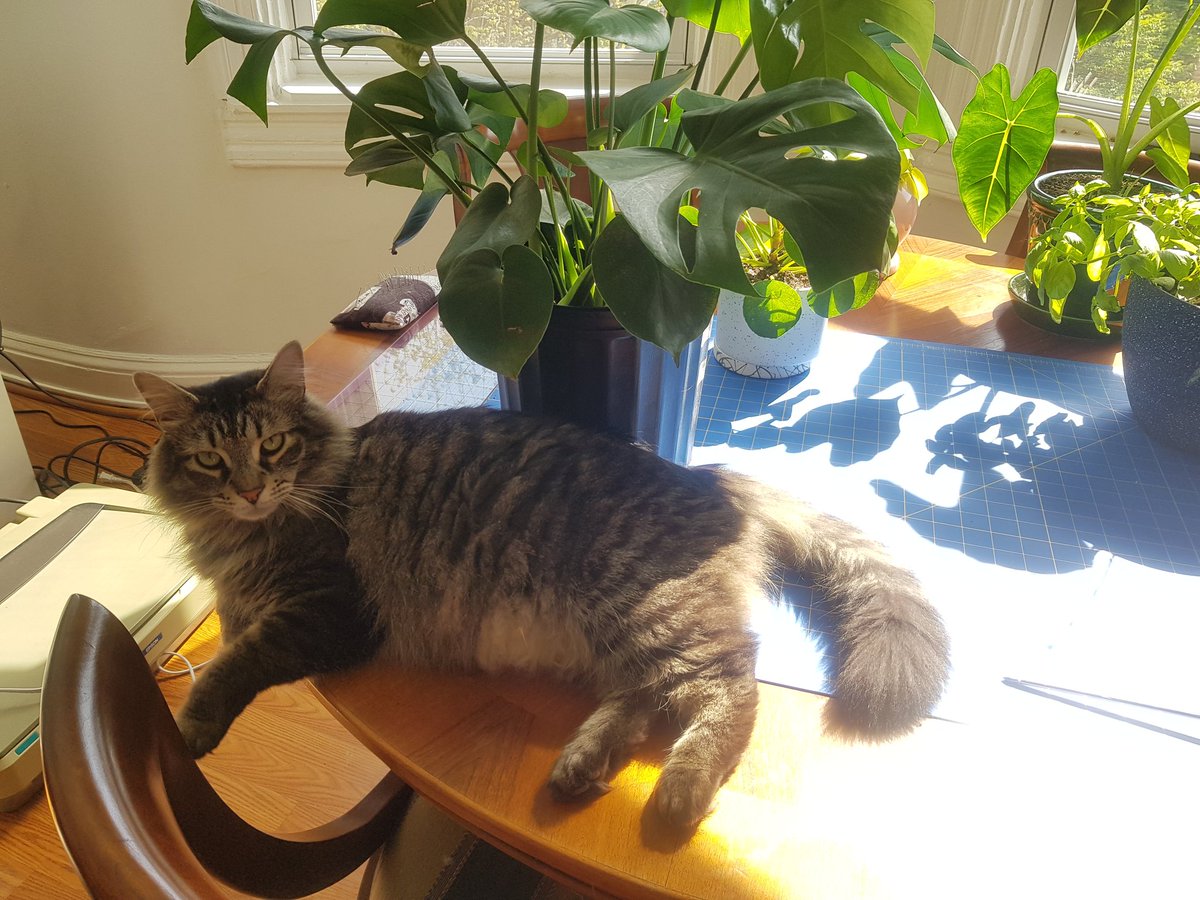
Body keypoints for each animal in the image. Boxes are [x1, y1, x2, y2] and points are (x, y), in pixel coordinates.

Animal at [133, 343, 945, 830]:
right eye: (210, 461)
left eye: (272, 447)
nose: (249, 490)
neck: (244, 538)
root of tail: (708, 479)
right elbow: (232, 629)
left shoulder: (328, 610)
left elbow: (232, 664)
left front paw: (189, 727)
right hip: (619, 629)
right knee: (644, 700)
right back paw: (582, 766)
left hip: (648, 606)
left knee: (732, 687)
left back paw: (679, 794)